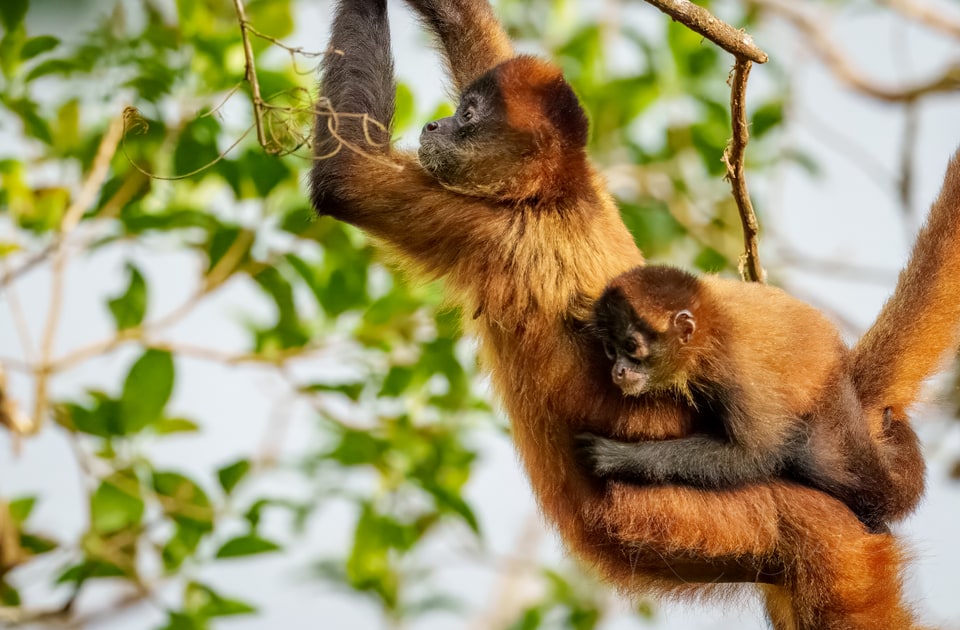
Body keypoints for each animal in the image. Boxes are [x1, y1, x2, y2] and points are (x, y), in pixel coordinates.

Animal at [576, 264, 924, 533]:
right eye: (611, 349)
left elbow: (755, 454)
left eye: (631, 346)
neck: (712, 319)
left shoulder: (734, 366)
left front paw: (618, 455)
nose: (619, 370)